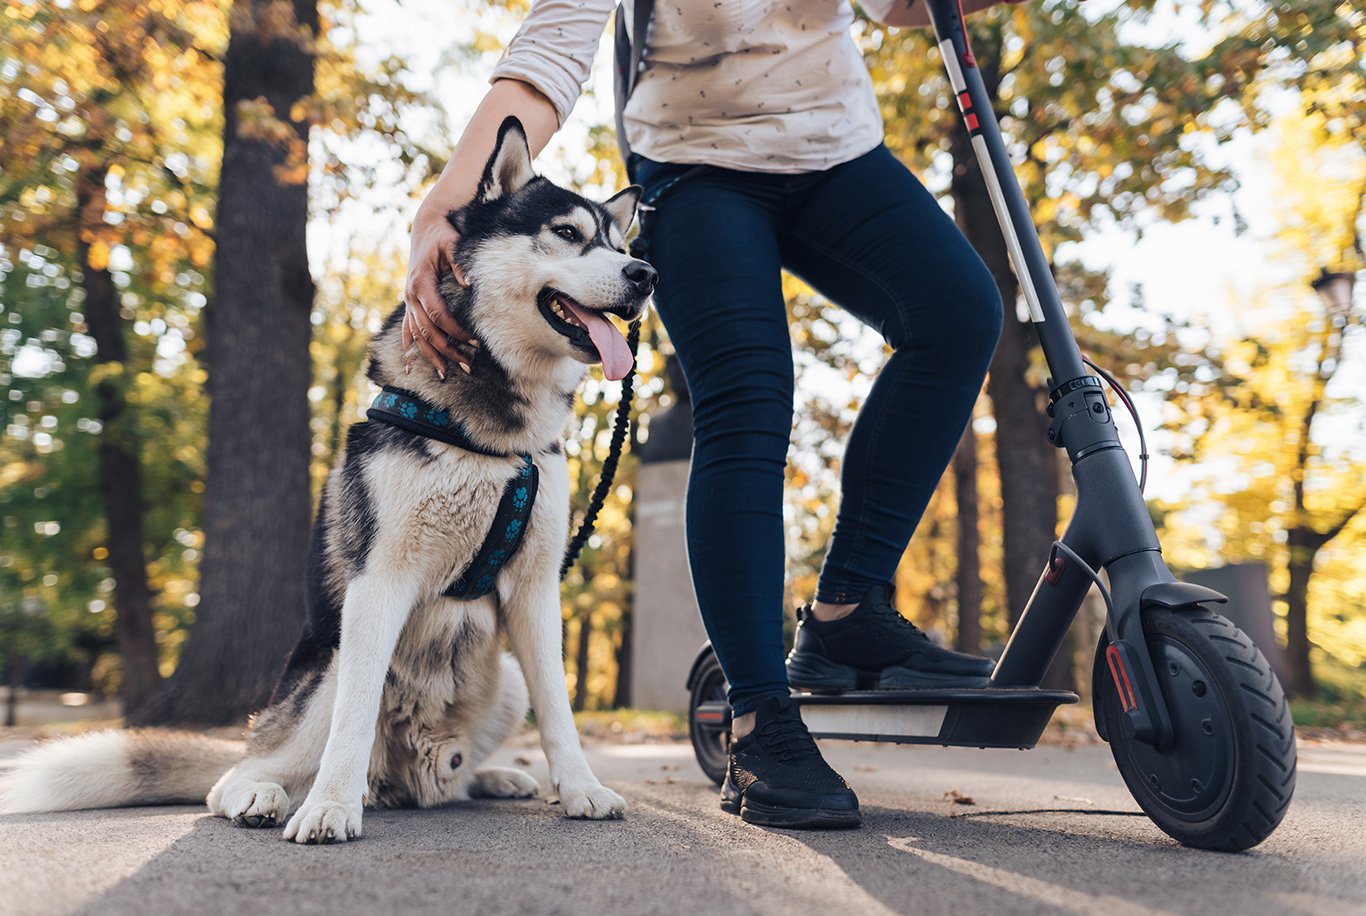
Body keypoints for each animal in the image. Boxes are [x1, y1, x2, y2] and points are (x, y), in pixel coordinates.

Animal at [0, 121, 655, 846]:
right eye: (567, 233)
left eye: (621, 244)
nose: (646, 275)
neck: (492, 438)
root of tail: (405, 777)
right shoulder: (378, 585)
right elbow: (354, 715)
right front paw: (331, 808)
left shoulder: (534, 590)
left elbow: (559, 709)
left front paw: (582, 789)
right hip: (328, 659)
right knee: (238, 774)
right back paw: (270, 796)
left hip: (500, 678)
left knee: (447, 782)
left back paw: (489, 779)